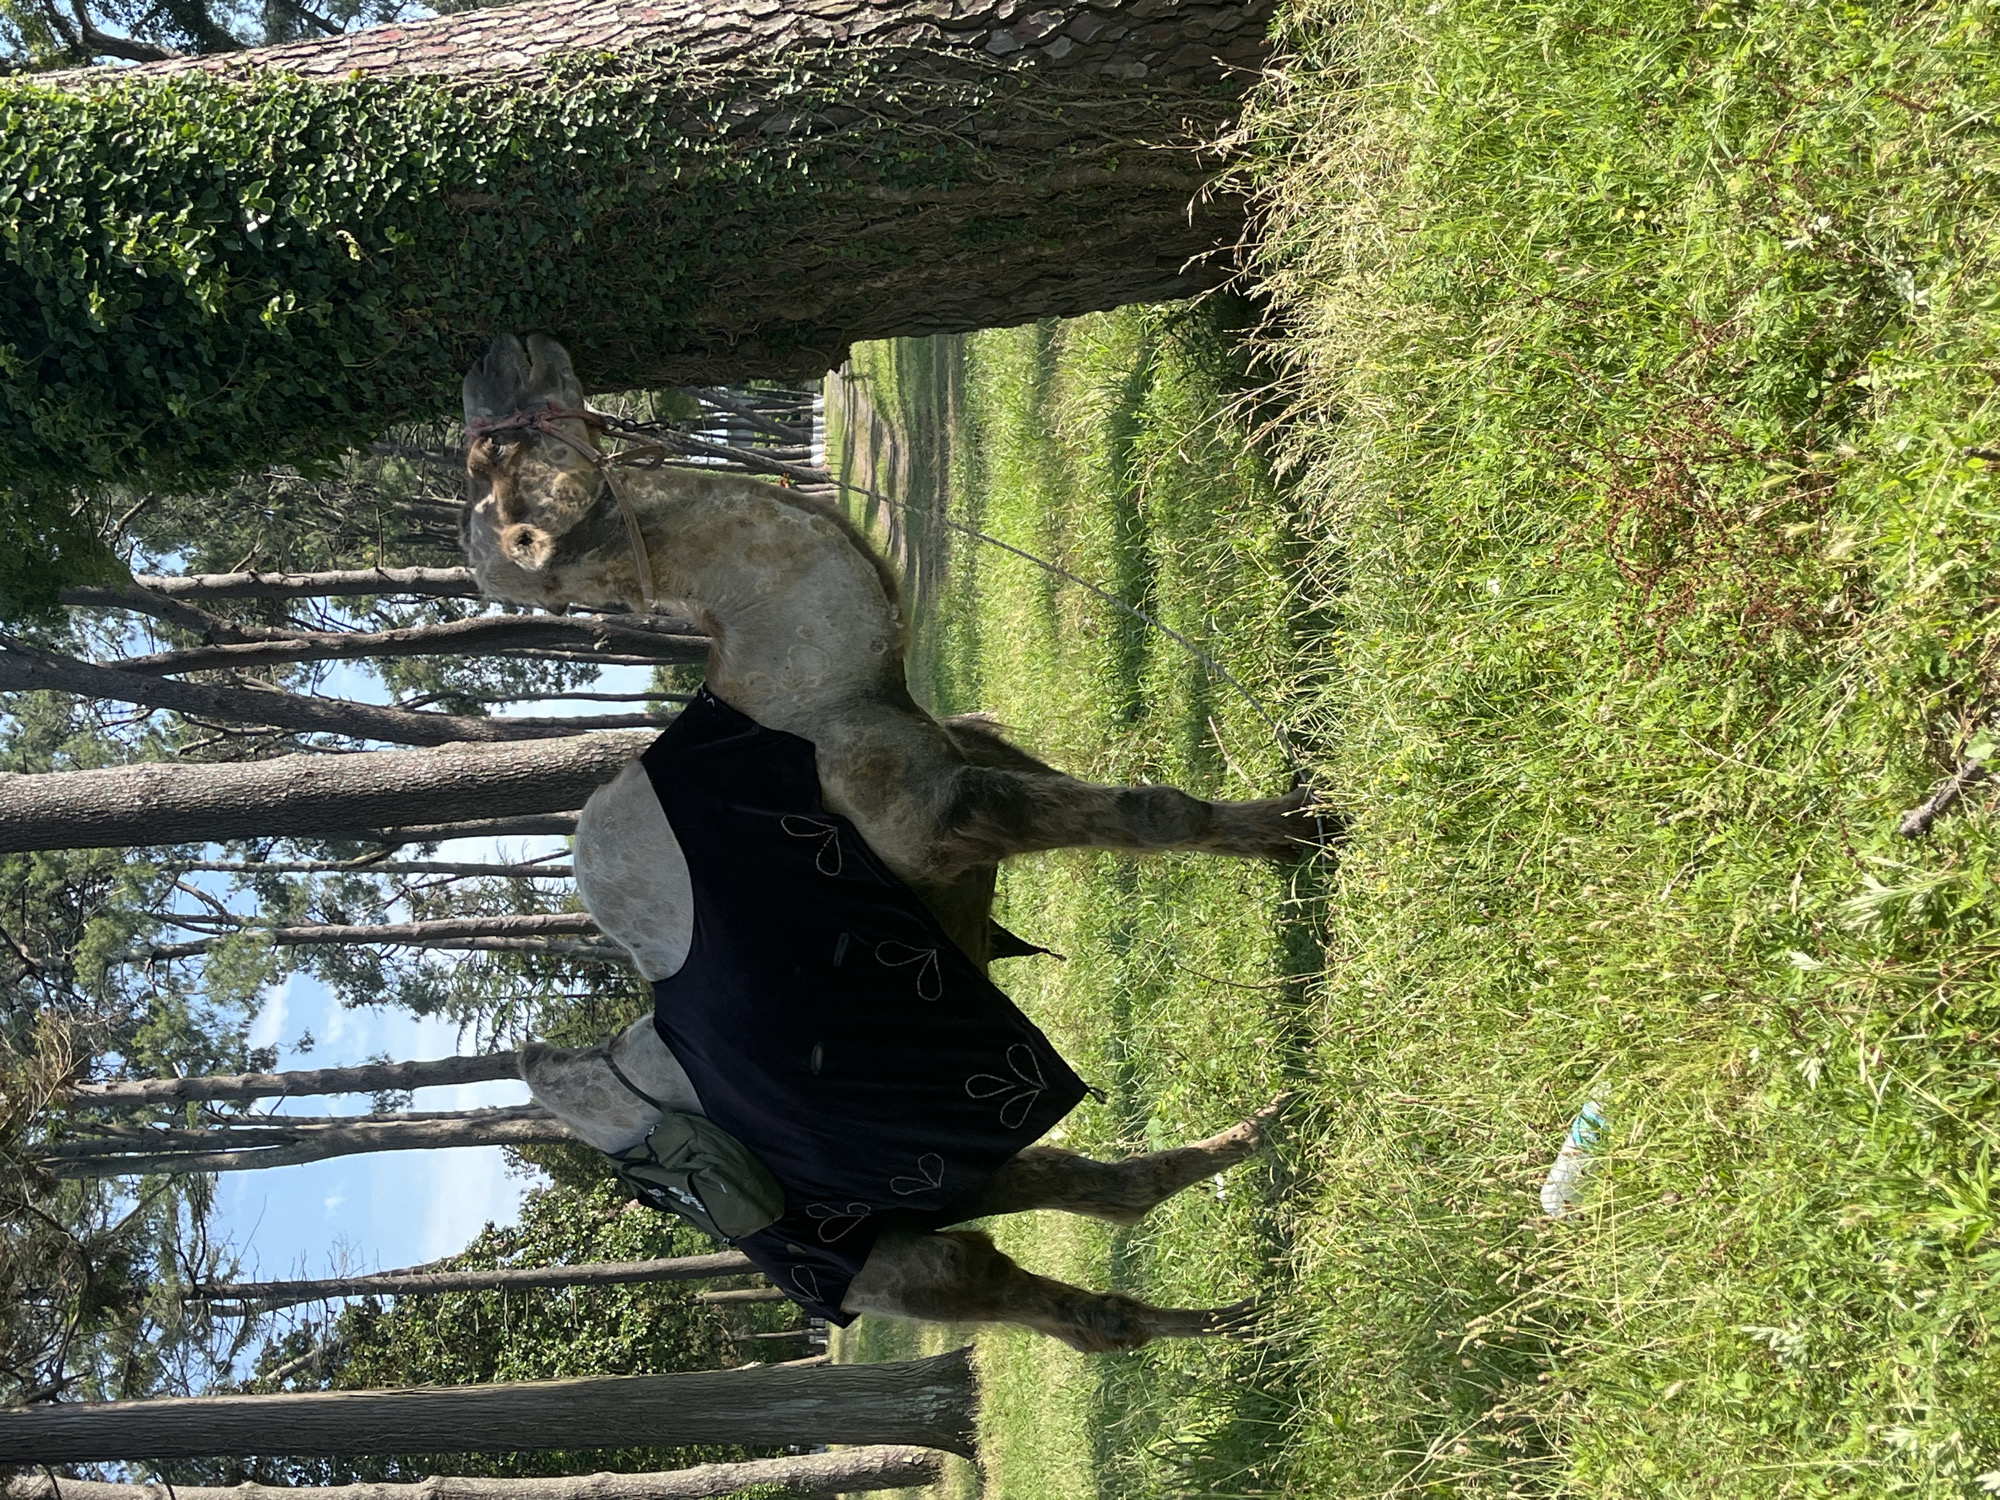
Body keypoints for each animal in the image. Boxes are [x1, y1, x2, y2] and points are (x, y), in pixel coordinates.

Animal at [461, 333, 1316, 1351]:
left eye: (496, 448)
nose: (492, 359)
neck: (809, 694)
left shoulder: (972, 773)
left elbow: (1141, 806)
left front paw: (1303, 818)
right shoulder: (947, 816)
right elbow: (1158, 813)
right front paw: (1315, 831)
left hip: (938, 1180)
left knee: (1092, 1199)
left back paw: (1260, 1236)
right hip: (867, 1254)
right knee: (1013, 1285)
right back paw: (1246, 1308)